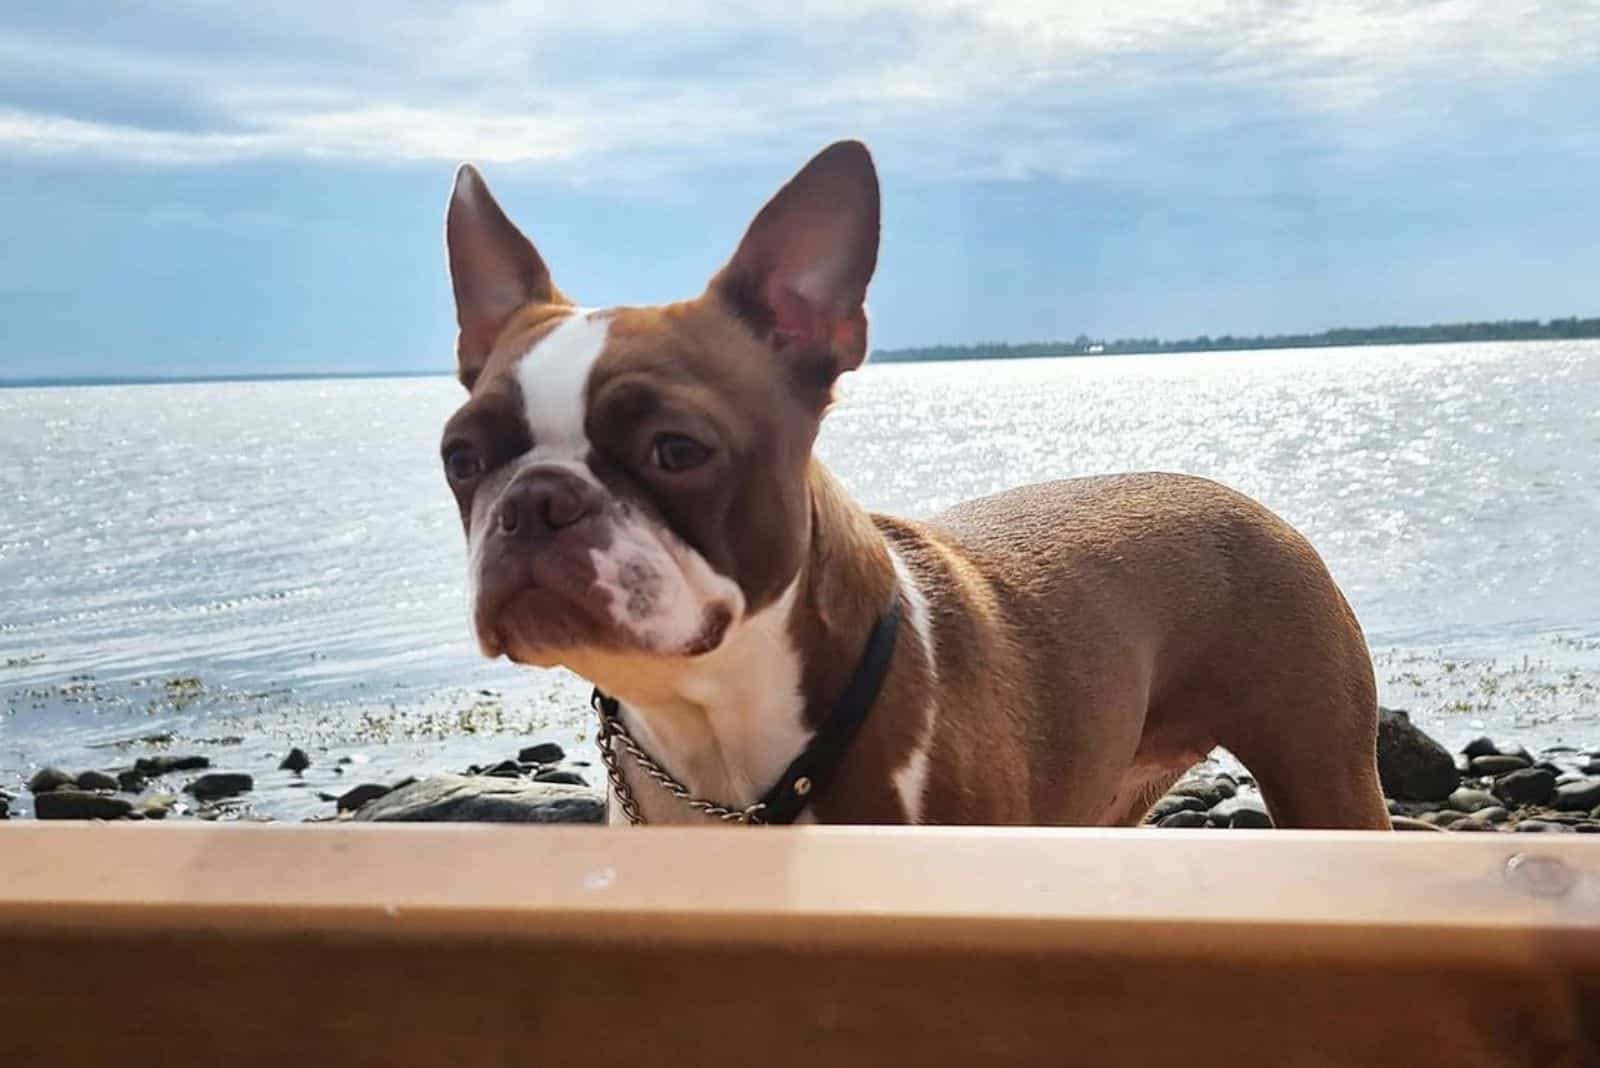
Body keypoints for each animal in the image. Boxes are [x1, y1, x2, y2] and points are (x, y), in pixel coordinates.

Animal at [438, 137, 1388, 831]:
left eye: (676, 449)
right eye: (461, 459)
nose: (535, 501)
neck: (716, 732)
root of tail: (1246, 499)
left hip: (1328, 780)